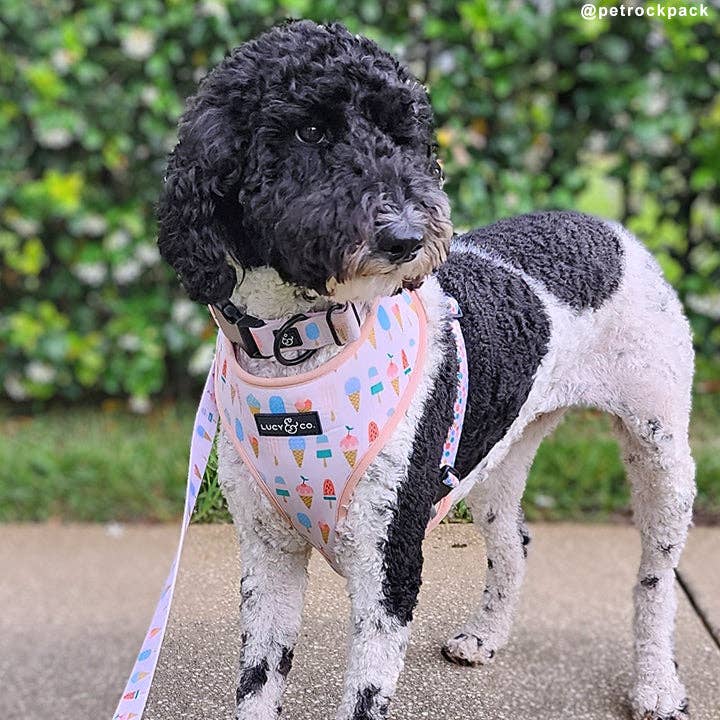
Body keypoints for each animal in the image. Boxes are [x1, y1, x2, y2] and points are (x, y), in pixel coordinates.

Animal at [158, 18, 696, 720]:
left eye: (402, 133)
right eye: (309, 131)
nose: (409, 237)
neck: (299, 348)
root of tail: (605, 226)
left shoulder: (389, 556)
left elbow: (365, 692)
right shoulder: (266, 550)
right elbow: (258, 684)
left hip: (661, 453)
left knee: (655, 582)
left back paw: (657, 683)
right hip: (498, 457)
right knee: (514, 544)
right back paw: (486, 636)